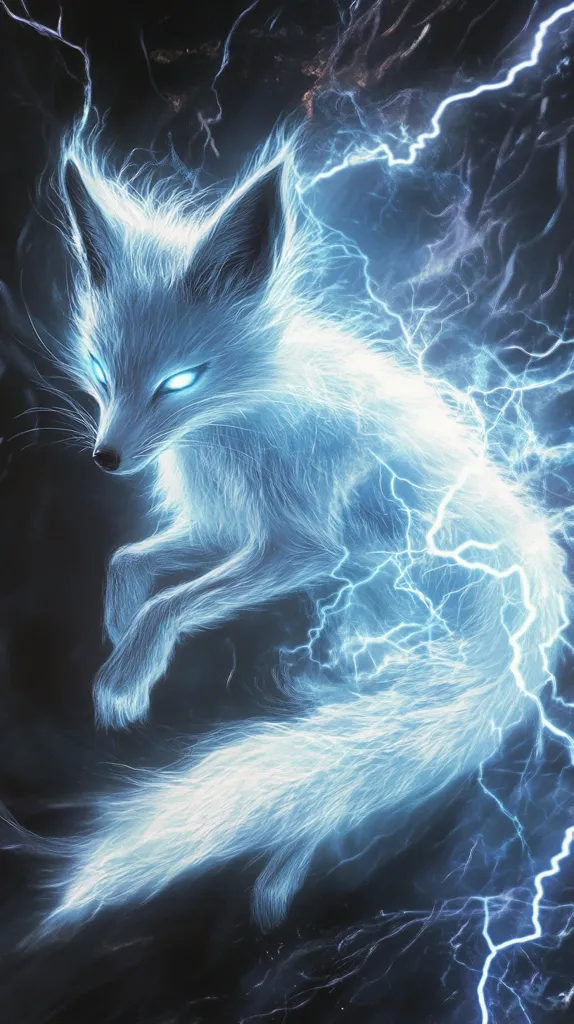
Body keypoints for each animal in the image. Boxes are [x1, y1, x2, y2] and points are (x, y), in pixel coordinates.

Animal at [49, 139, 569, 931]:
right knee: (345, 762)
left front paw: (124, 679)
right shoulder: (223, 527)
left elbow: (171, 602)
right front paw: (117, 631)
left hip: (417, 673)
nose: (107, 459)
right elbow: (127, 562)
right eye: (101, 372)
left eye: (178, 382)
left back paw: (283, 881)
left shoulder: (302, 545)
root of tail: (538, 583)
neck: (235, 420)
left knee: (362, 768)